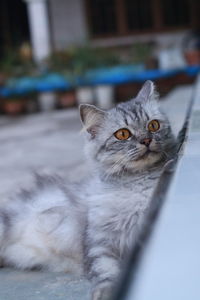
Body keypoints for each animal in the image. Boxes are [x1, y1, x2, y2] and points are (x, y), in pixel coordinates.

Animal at [0, 81, 175, 300]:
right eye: (123, 134)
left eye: (153, 125)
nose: (146, 140)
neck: (136, 184)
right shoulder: (99, 241)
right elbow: (105, 269)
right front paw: (106, 291)